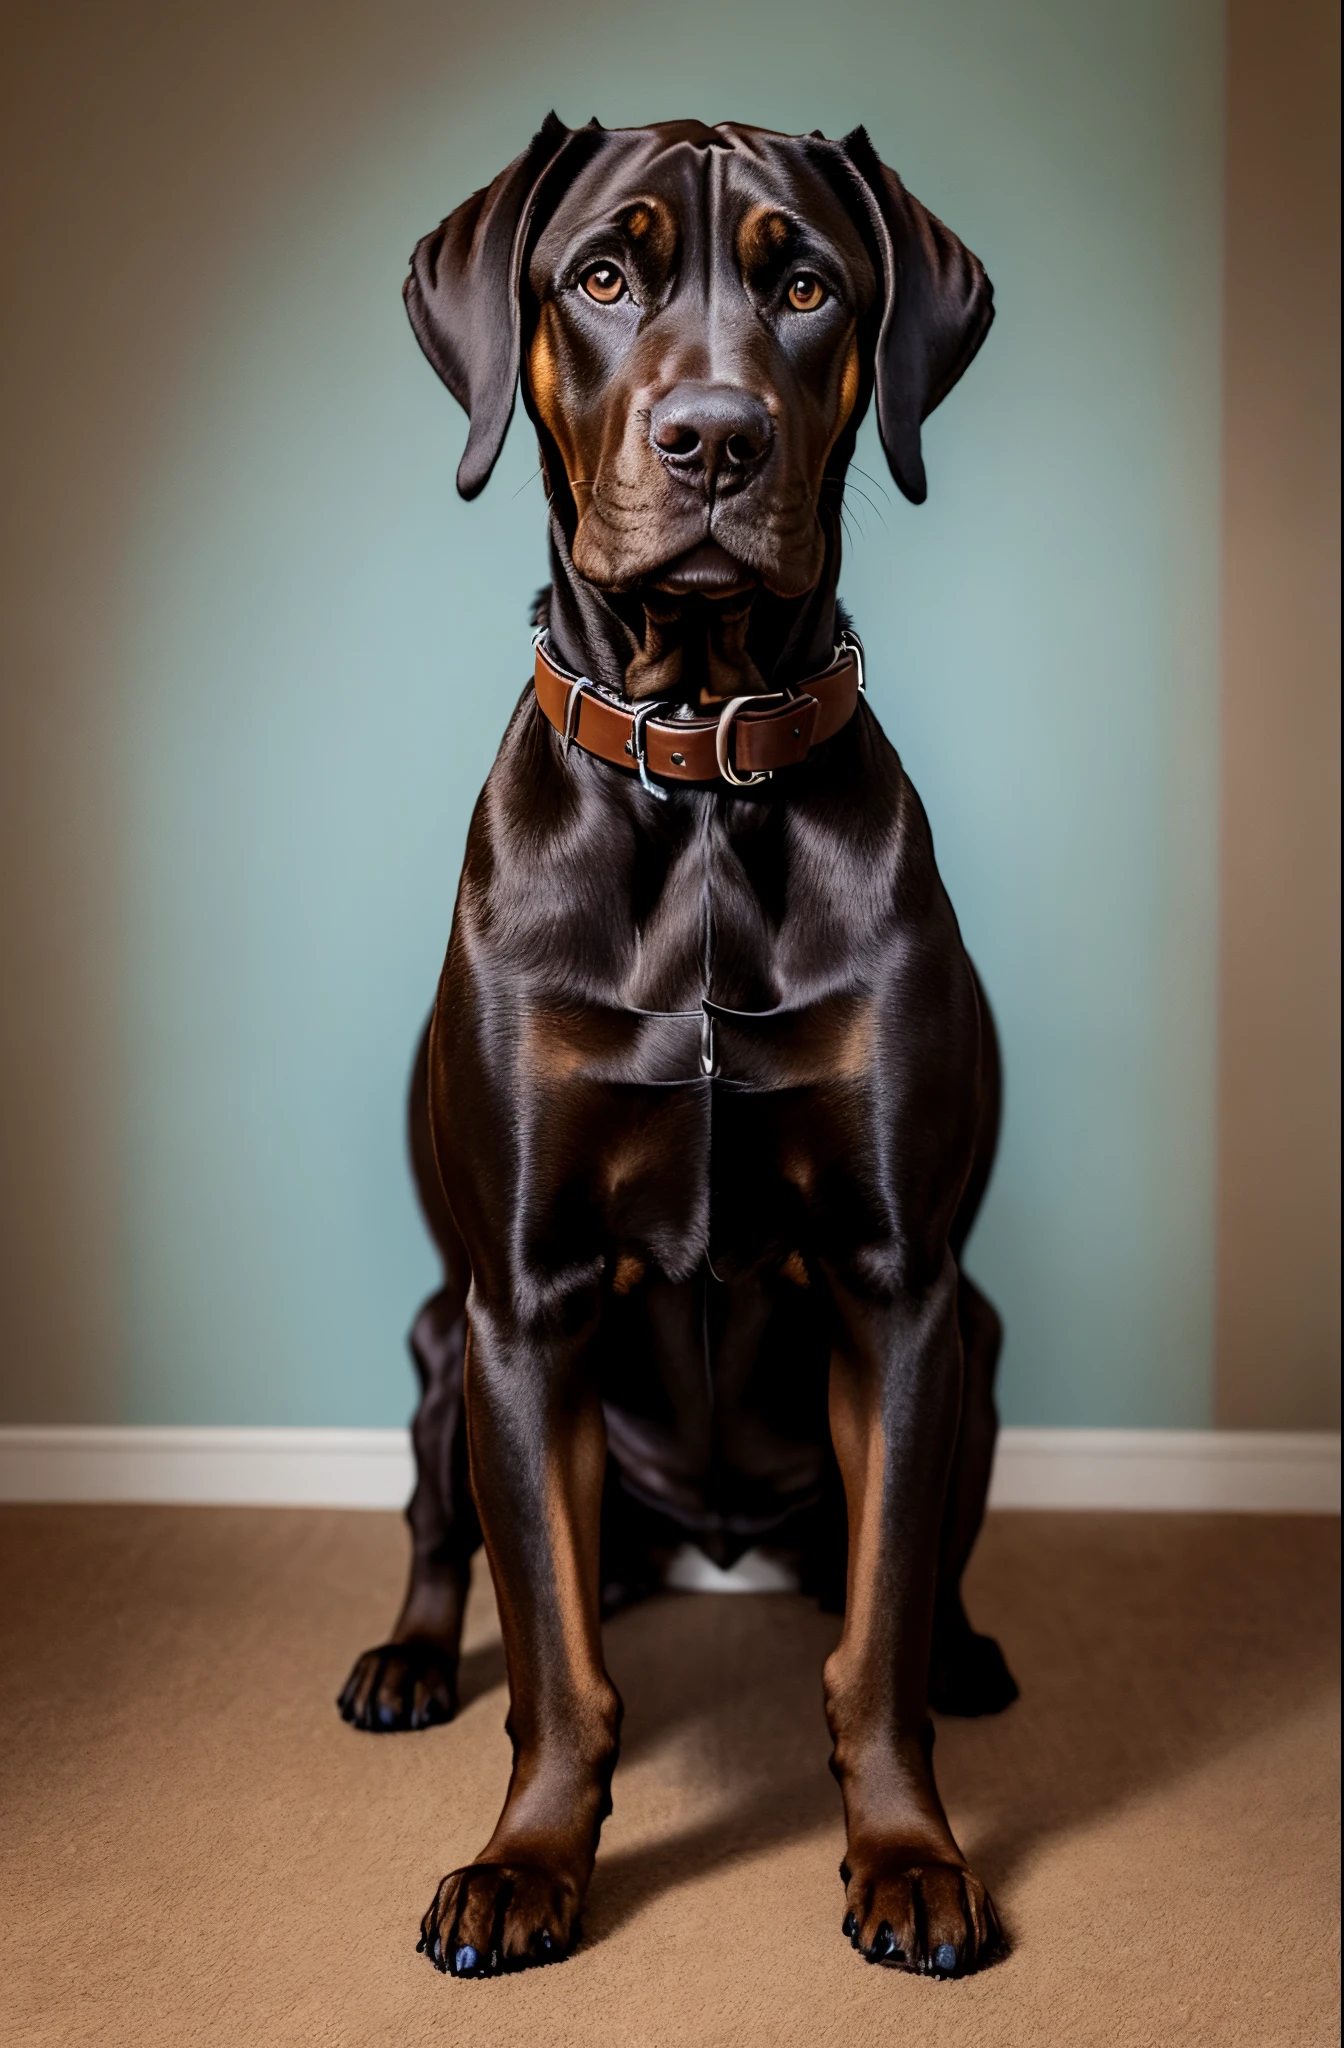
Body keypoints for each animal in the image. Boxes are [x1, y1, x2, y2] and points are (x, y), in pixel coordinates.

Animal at [338, 116, 1020, 1982]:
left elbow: (866, 1640)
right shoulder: (524, 1296)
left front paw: (907, 1854)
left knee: (913, 1573)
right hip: (441, 1347)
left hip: (980, 1340)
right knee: (449, 1533)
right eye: (599, 274)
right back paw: (407, 1658)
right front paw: (524, 1862)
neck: (703, 773)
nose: (712, 436)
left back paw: (964, 1650)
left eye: (806, 286)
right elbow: (558, 1658)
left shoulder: (895, 1284)